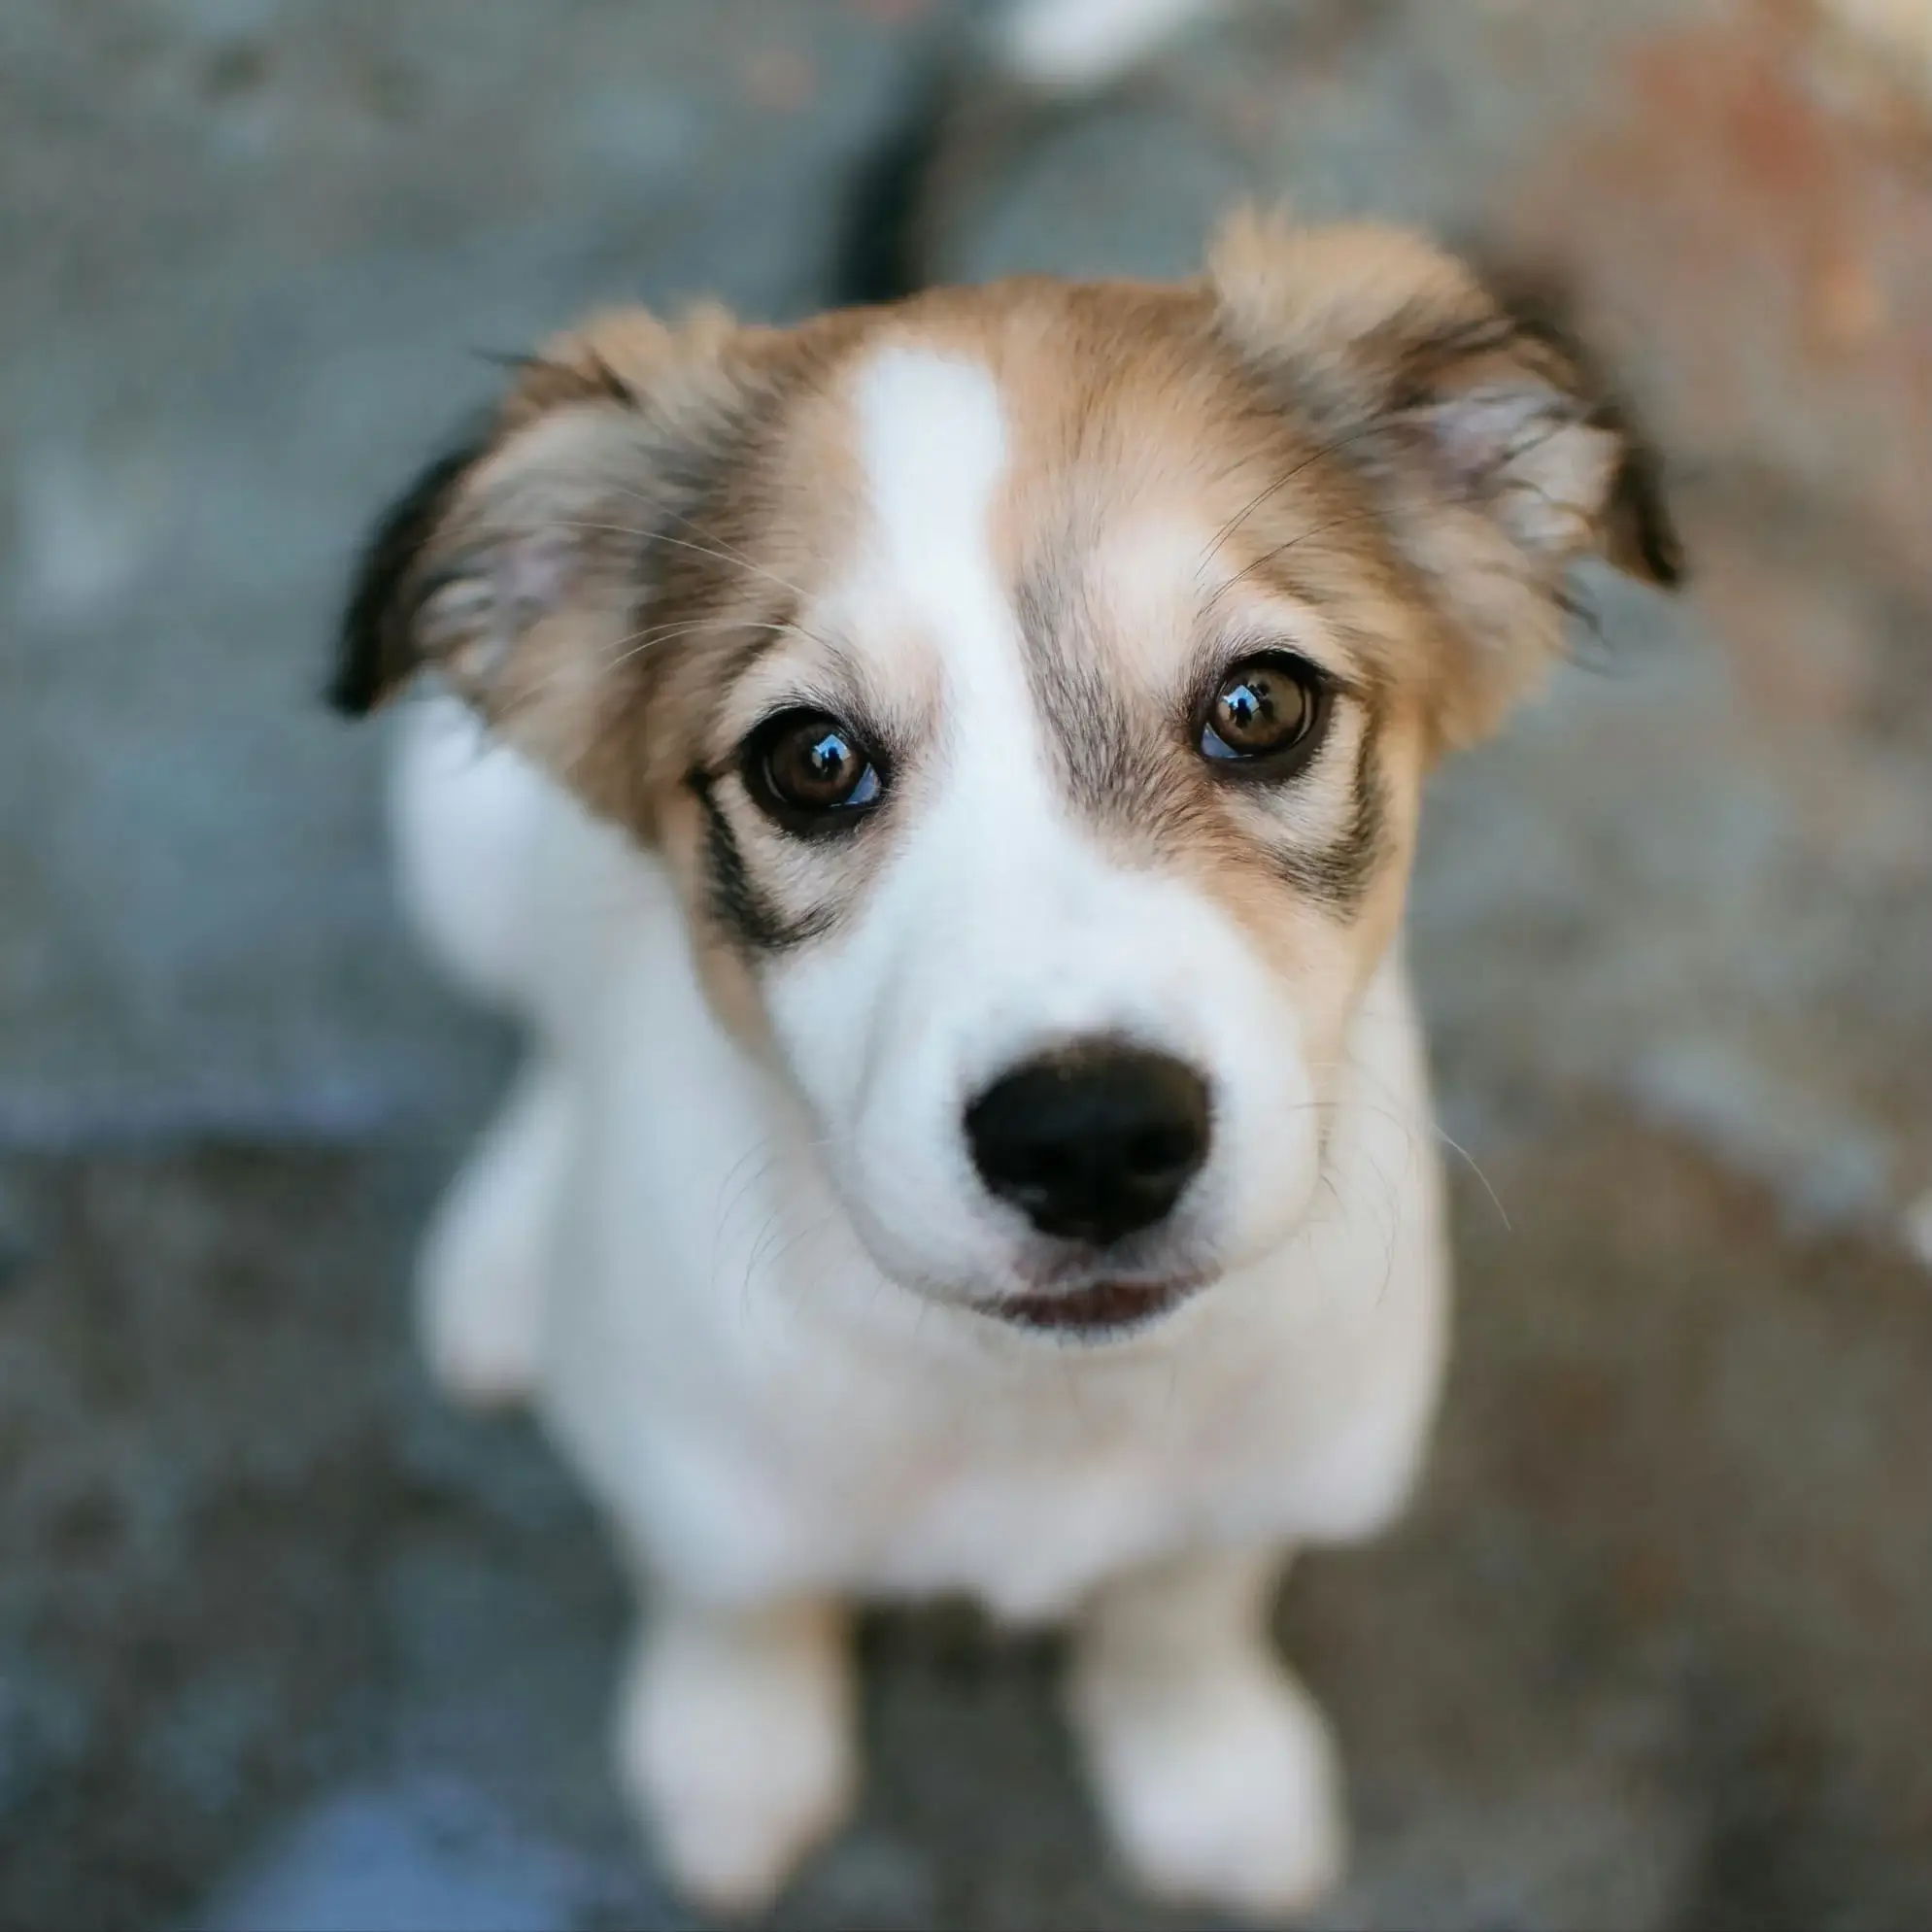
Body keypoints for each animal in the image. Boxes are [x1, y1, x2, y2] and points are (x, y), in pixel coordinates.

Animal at [332, 203, 1677, 1909]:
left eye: (1261, 706)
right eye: (810, 760)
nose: (1091, 1139)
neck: (1035, 1401)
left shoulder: (1294, 1454)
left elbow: (1183, 1604)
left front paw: (1206, 1769)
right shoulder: (693, 1471)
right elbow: (730, 1595)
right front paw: (732, 1756)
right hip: (455, 839)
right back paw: (508, 1254)